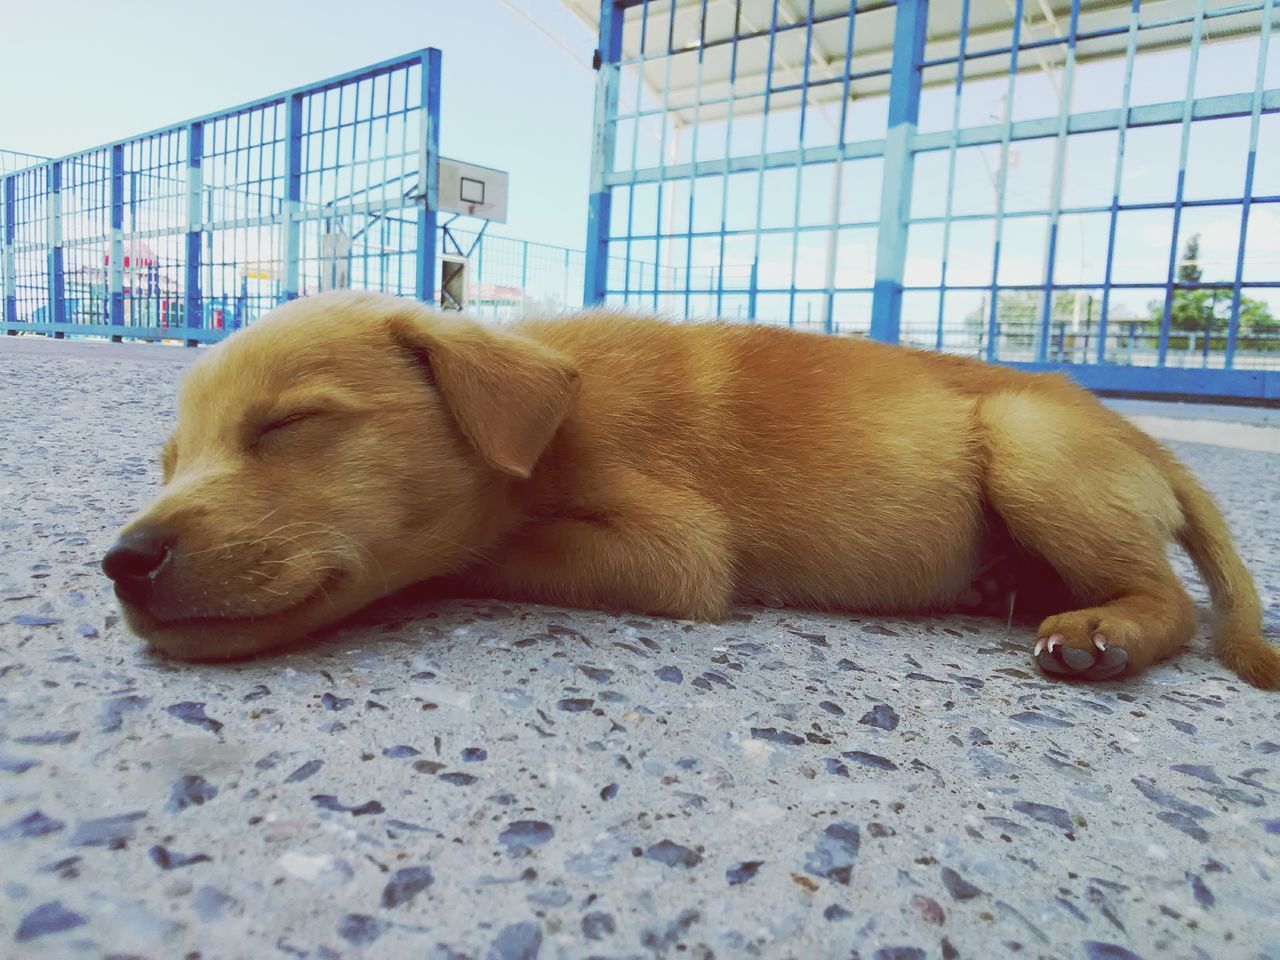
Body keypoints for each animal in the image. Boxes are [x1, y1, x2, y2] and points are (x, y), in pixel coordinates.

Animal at [102, 289, 1280, 686]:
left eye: (289, 426)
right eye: (167, 461)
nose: (123, 561)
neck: (556, 420)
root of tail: (1140, 435)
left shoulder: (673, 551)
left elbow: (474, 552)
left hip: (1029, 441)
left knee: (1170, 601)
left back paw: (1096, 632)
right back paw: (1011, 588)